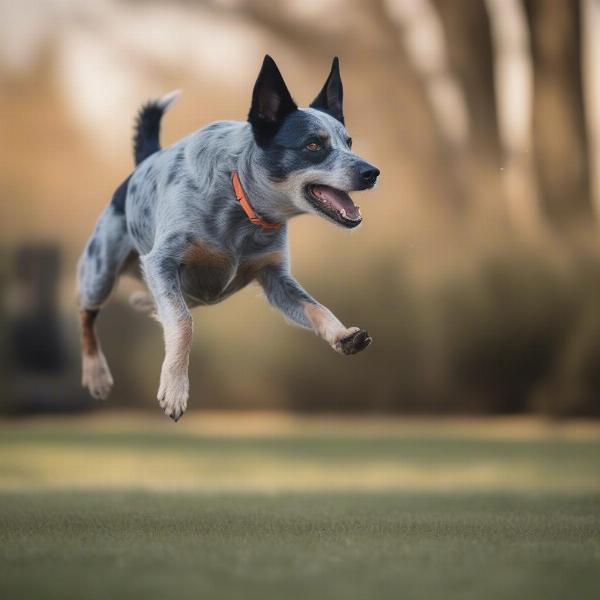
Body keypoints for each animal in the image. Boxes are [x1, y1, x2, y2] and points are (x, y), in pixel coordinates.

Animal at [78, 57, 380, 422]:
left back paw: (143, 304)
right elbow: (183, 323)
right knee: (88, 314)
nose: (372, 172)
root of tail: (143, 164)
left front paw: (342, 335)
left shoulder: (276, 278)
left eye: (348, 142)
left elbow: (315, 307)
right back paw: (96, 373)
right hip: (101, 272)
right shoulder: (161, 261)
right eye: (313, 145)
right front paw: (174, 389)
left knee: (154, 304)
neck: (241, 205)